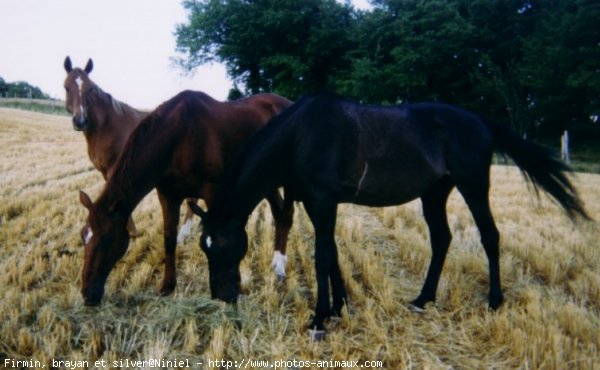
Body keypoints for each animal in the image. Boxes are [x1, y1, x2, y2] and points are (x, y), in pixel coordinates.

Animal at [64, 56, 198, 241]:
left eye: (90, 89)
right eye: (66, 87)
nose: (80, 121)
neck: (107, 126)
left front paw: (131, 232)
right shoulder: (105, 172)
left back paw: (182, 235)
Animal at [78, 90, 296, 306]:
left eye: (107, 239)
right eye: (83, 236)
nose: (88, 295)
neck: (179, 136)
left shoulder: (213, 191)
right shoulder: (168, 195)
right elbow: (169, 239)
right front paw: (167, 286)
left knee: (286, 214)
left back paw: (280, 268)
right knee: (279, 213)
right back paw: (276, 263)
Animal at [193, 91, 592, 336]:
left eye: (223, 246)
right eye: (204, 246)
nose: (223, 296)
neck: (301, 135)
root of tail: (481, 122)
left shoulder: (323, 201)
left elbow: (322, 256)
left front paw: (320, 317)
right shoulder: (315, 203)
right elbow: (332, 253)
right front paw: (339, 306)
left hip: (474, 185)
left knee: (490, 236)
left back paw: (495, 301)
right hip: (435, 193)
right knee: (442, 239)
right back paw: (422, 299)